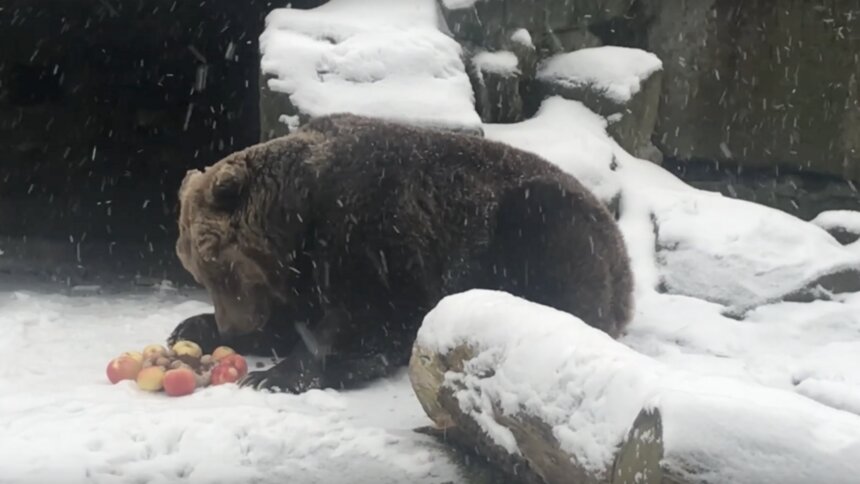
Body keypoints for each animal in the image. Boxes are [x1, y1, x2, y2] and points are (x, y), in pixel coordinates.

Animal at [166, 114, 632, 394]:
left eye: (220, 269)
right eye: (199, 273)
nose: (231, 325)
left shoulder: (376, 235)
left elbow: (367, 321)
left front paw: (274, 376)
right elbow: (291, 319)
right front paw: (191, 327)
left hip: (538, 226)